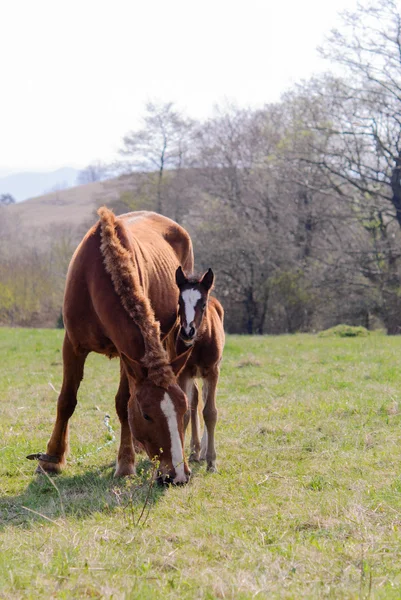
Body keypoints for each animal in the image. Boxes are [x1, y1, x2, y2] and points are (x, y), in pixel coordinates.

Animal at [34, 209, 195, 486]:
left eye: (183, 409)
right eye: (147, 415)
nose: (177, 475)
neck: (98, 274)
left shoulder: (126, 354)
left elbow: (123, 403)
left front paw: (125, 463)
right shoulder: (72, 345)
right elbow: (66, 400)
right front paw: (51, 459)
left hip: (174, 333)